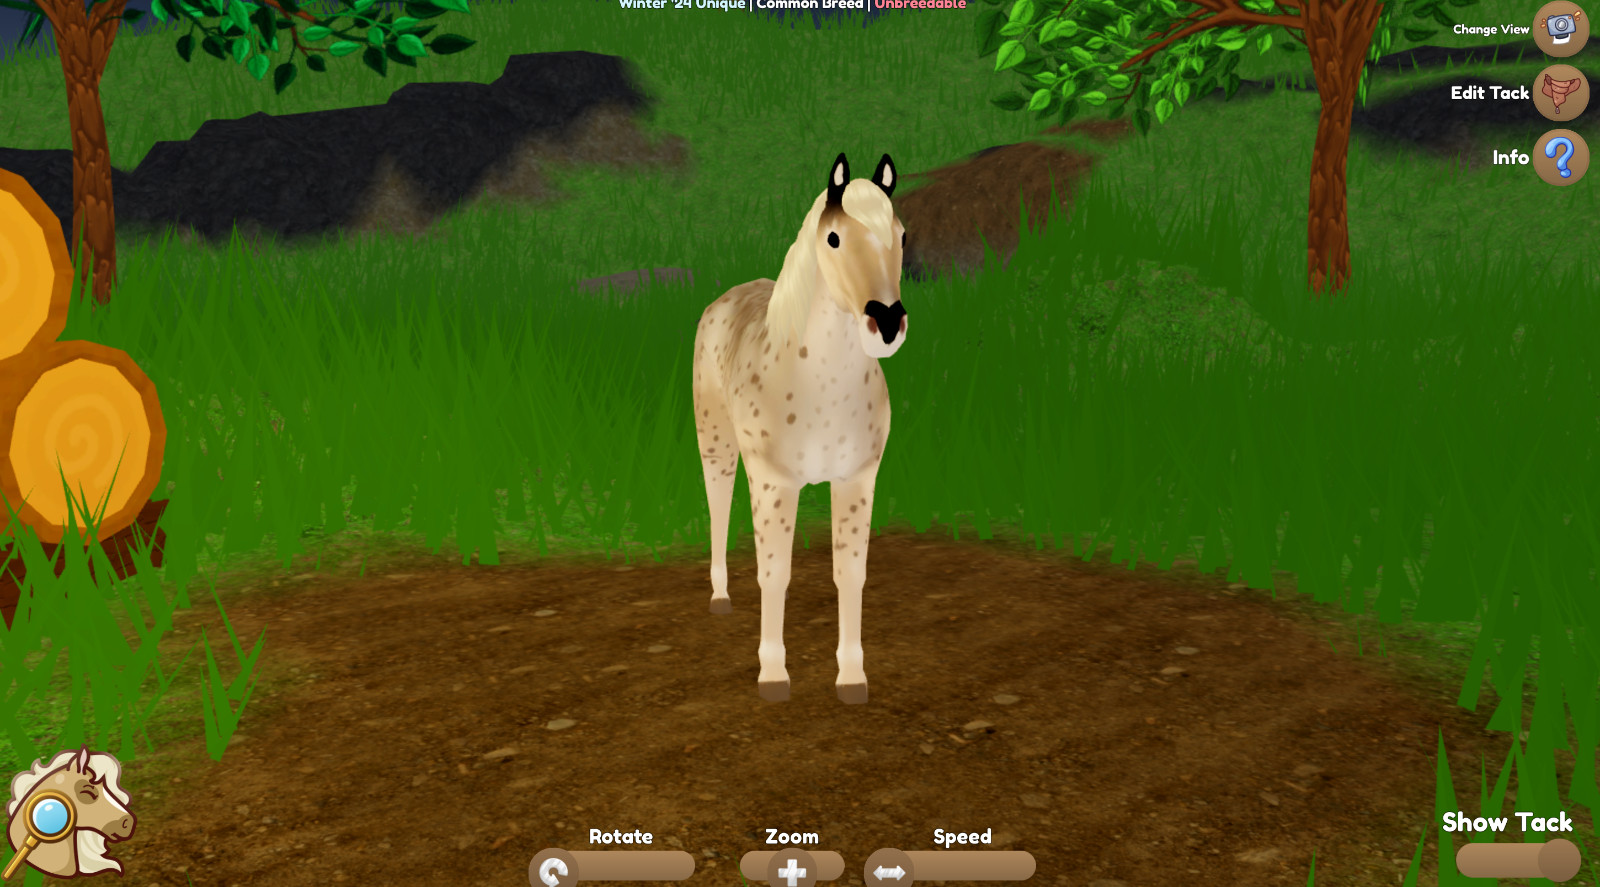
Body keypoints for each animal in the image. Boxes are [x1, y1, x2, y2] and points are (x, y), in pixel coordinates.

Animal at [692, 151, 908, 704]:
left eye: (901, 234)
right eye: (832, 238)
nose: (887, 324)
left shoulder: (857, 479)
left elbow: (849, 574)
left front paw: (852, 677)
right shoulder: (775, 483)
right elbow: (775, 574)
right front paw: (773, 675)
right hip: (716, 442)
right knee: (717, 503)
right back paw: (719, 595)